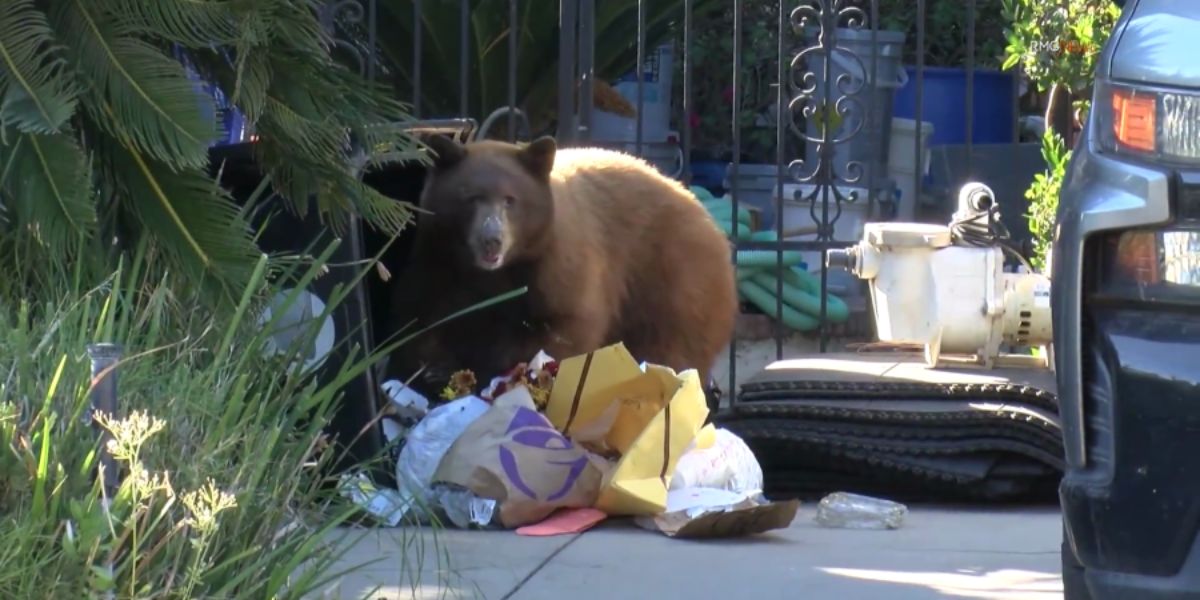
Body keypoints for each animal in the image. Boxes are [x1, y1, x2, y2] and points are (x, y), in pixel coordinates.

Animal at [388, 133, 734, 400]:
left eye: (510, 200)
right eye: (471, 198)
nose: (492, 240)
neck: (495, 276)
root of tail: (711, 223)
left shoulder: (558, 266)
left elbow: (564, 329)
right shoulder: (439, 262)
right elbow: (422, 321)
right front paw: (433, 371)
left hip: (673, 281)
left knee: (672, 345)